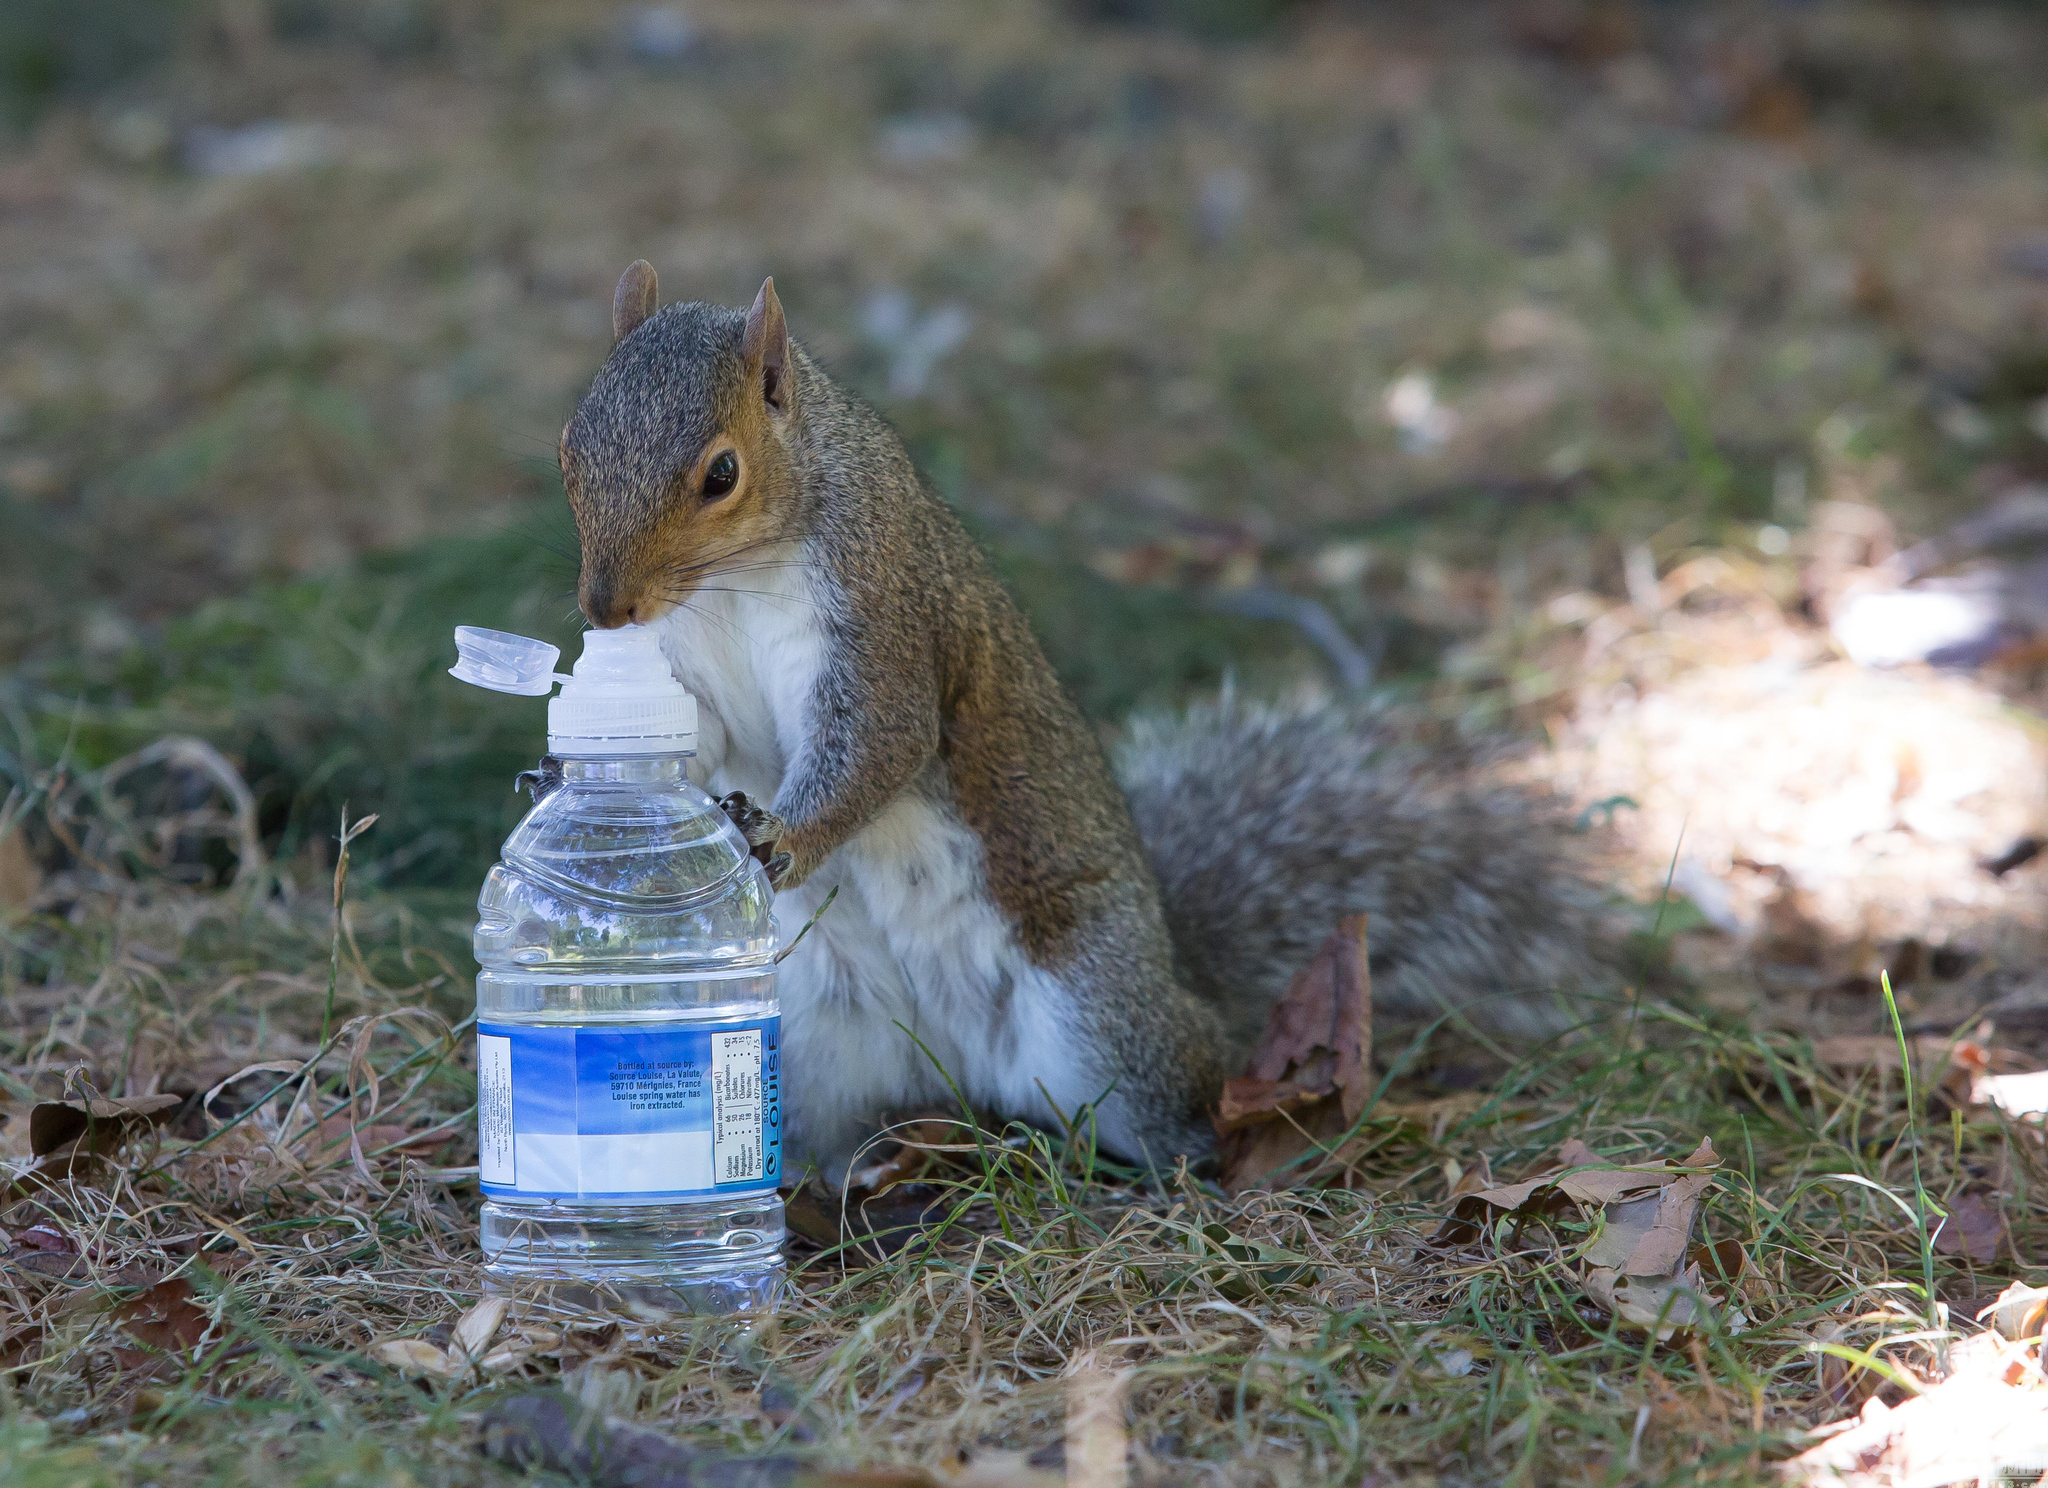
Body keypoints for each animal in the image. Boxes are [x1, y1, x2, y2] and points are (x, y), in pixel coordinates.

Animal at [561, 261, 1613, 1178]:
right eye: (570, 447)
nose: (605, 609)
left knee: (1181, 1090)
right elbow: (689, 750)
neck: (733, 582)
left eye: (721, 473)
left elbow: (879, 743)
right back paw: (845, 1174)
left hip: (1101, 1020)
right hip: (816, 1030)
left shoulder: (879, 610)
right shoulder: (689, 674)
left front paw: (780, 836)